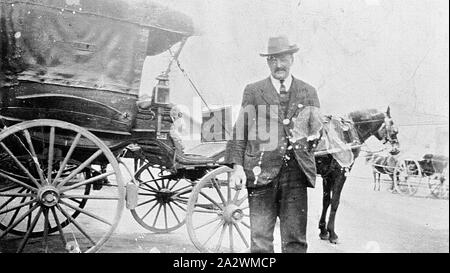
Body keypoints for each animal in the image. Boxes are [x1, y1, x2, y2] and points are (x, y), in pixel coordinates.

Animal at [314, 105, 400, 242]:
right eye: (393, 128)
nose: (396, 149)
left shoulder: (328, 175)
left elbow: (326, 201)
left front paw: (323, 231)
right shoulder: (341, 172)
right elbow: (335, 201)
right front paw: (332, 233)